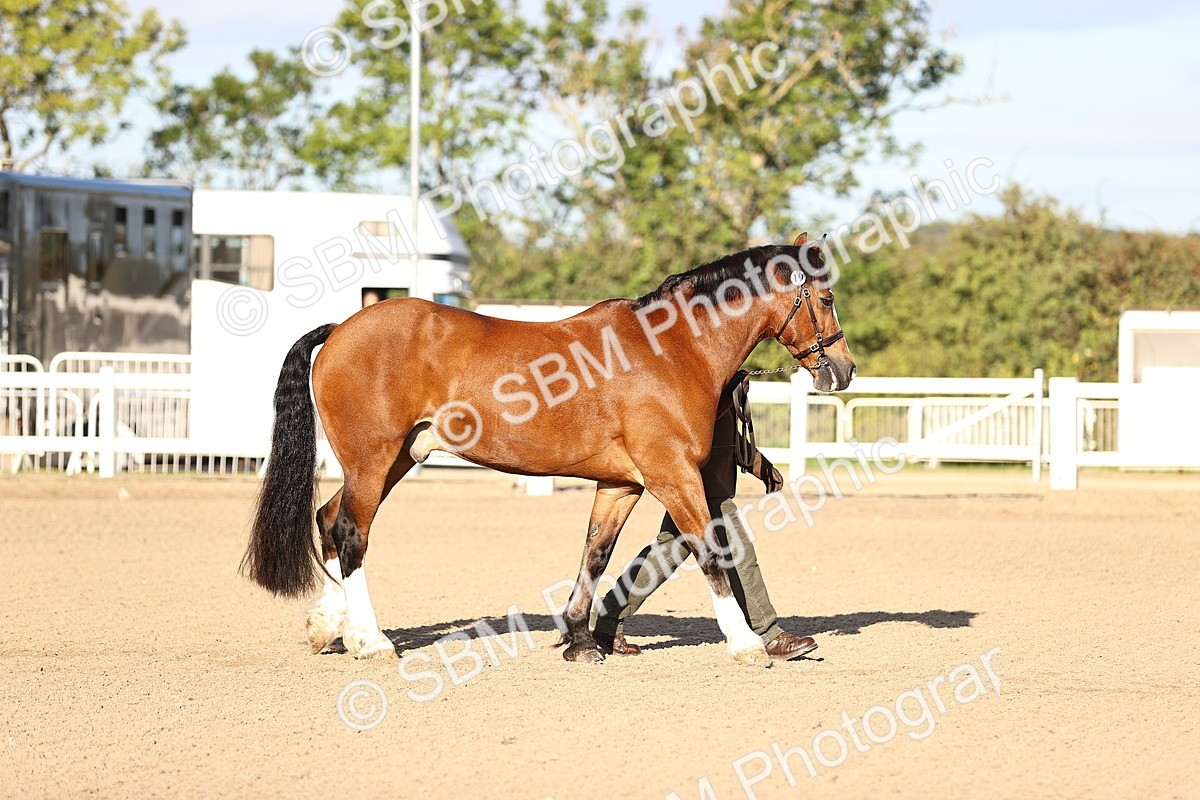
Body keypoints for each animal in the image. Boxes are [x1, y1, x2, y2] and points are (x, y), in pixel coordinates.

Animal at [242, 233, 855, 666]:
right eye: (825, 297)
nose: (844, 369)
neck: (672, 349)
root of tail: (342, 327)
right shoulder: (673, 475)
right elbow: (709, 549)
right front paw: (746, 643)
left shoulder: (622, 484)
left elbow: (595, 555)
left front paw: (581, 639)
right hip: (373, 460)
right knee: (351, 532)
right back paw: (371, 641)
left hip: (397, 459)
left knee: (329, 520)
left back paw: (331, 629)